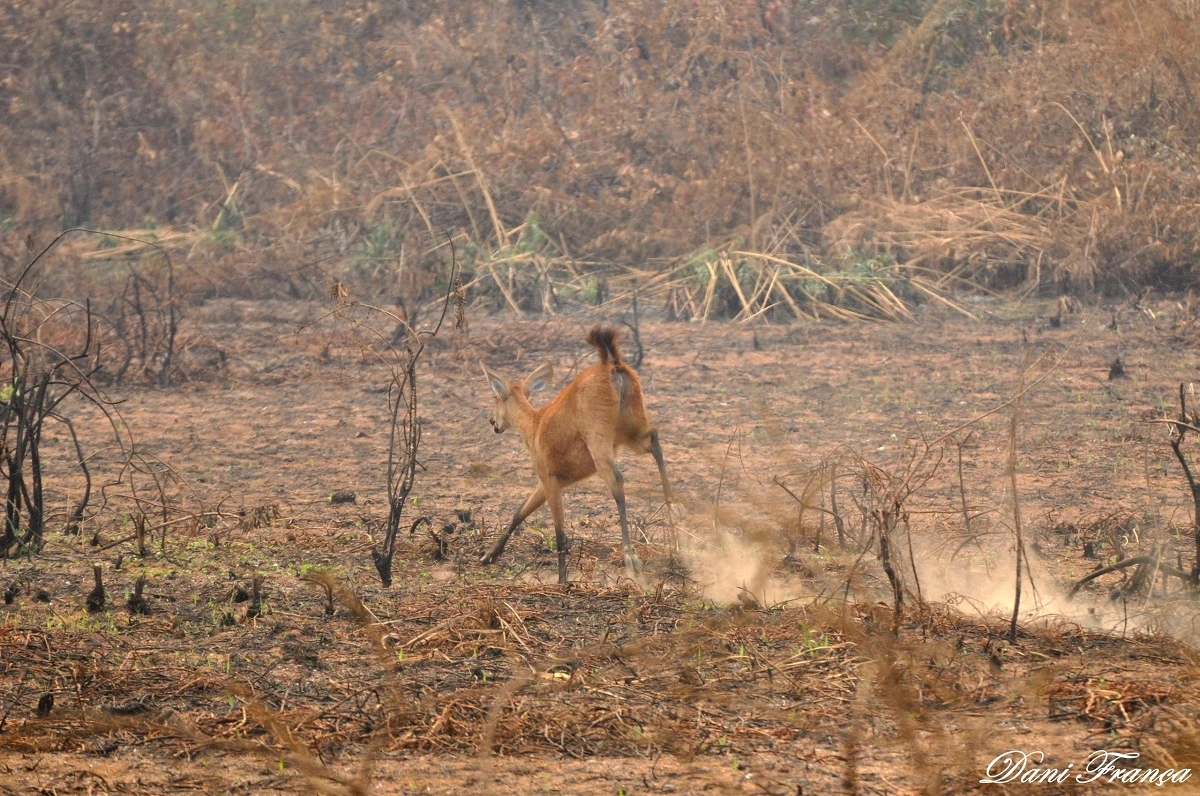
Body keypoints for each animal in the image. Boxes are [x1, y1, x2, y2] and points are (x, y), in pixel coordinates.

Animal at [480, 326, 676, 583]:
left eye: (496, 396)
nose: (493, 422)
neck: (534, 425)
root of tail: (611, 364)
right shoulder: (549, 482)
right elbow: (519, 512)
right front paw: (489, 556)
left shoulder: (549, 481)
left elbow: (560, 536)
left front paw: (562, 581)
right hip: (631, 429)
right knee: (655, 440)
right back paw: (675, 520)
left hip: (600, 439)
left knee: (617, 478)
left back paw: (631, 558)